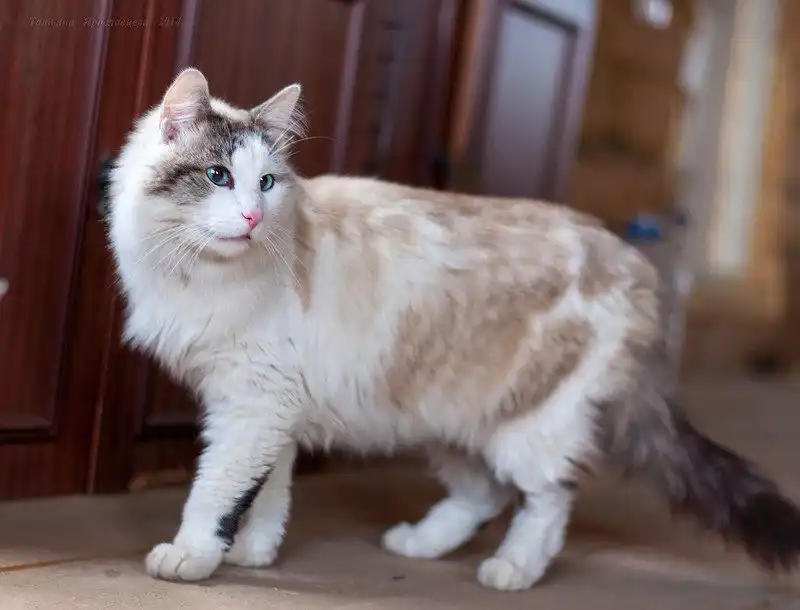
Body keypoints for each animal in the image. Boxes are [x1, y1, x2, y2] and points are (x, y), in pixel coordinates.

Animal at [106, 67, 800, 591]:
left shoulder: (251, 406)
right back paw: (419, 543)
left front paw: (194, 554)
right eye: (218, 177)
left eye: (267, 183)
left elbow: (217, 489)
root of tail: (630, 259)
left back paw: (512, 570)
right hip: (450, 420)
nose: (252, 216)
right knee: (485, 496)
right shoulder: (270, 408)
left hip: (528, 425)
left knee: (549, 498)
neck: (192, 273)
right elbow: (267, 491)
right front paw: (254, 551)